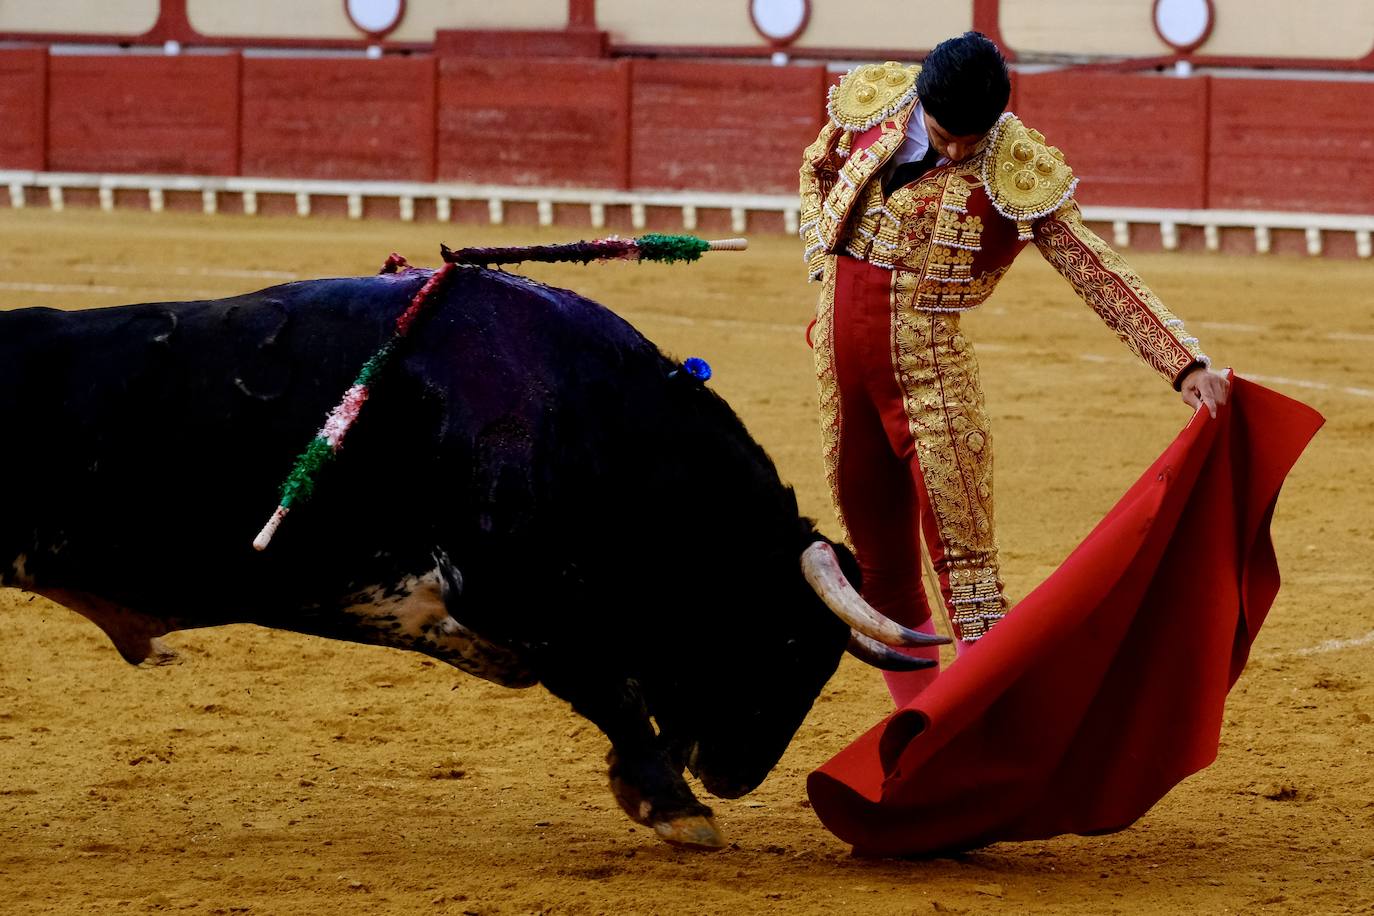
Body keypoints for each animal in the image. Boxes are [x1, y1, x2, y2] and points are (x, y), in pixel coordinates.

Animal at [0, 265, 939, 851]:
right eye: (788, 642)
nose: (738, 774)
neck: (588, 419)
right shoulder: (515, 599)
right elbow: (612, 691)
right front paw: (675, 806)